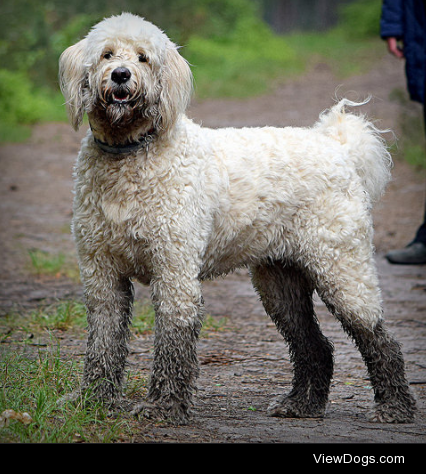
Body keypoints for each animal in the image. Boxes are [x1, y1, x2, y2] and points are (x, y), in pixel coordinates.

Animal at [60, 12, 416, 424]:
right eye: (106, 54)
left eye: (143, 58)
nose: (120, 75)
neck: (131, 153)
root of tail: (338, 147)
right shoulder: (102, 274)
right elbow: (103, 342)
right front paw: (91, 399)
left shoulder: (175, 271)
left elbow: (173, 343)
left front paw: (163, 407)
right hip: (280, 281)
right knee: (315, 345)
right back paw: (301, 405)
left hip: (341, 268)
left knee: (378, 337)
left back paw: (394, 407)